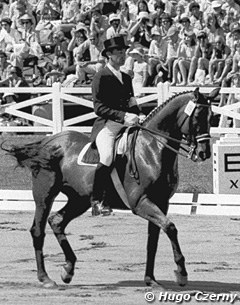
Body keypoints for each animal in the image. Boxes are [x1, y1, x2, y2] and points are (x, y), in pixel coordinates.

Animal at [3, 87, 218, 288]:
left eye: (212, 117)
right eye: (197, 116)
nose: (204, 153)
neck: (151, 149)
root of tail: (48, 141)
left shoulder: (161, 203)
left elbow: (153, 241)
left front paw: (150, 279)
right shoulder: (140, 203)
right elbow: (171, 228)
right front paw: (181, 274)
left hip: (79, 199)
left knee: (57, 222)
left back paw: (68, 269)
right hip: (45, 195)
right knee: (38, 231)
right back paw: (45, 278)